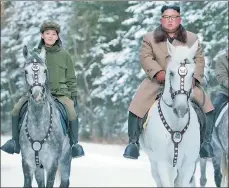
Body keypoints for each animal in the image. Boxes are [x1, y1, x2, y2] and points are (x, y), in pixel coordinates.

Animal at [20, 46, 72, 187]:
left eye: (45, 70)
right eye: (25, 71)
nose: (37, 95)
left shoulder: (52, 164)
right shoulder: (27, 164)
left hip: (65, 159)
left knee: (65, 181)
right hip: (39, 167)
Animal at [139, 40, 199, 187]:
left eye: (192, 74)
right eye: (171, 73)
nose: (181, 108)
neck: (176, 125)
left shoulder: (188, 165)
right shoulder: (163, 164)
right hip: (154, 162)